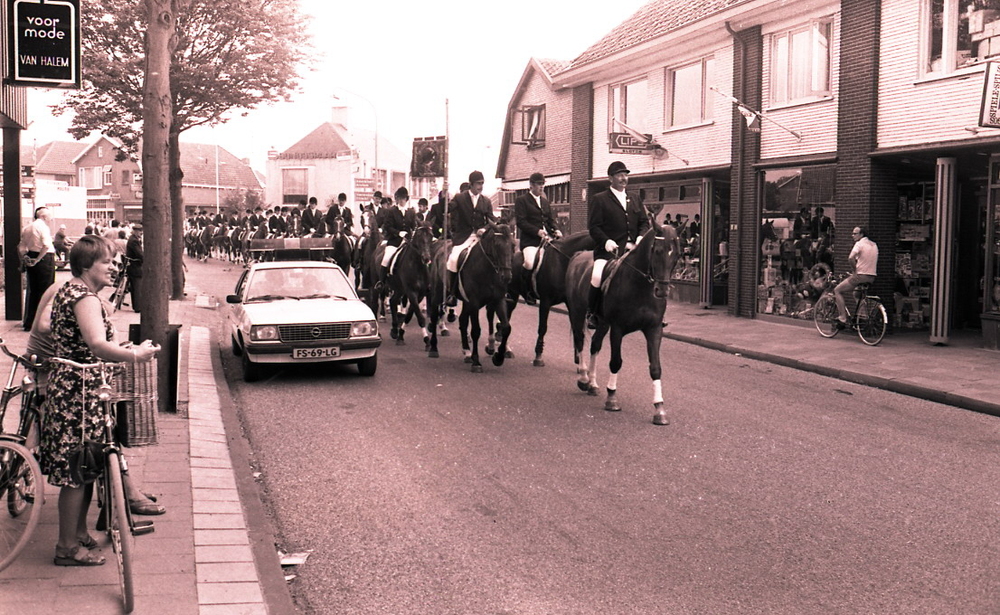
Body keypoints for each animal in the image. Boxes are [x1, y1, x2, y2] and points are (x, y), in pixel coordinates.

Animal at [426, 222, 514, 372]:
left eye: (513, 245)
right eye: (497, 245)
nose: (507, 277)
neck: (488, 271)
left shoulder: (498, 300)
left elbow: (506, 327)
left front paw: (498, 358)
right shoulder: (474, 302)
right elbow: (476, 331)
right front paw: (476, 362)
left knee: (462, 320)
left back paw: (467, 352)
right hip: (438, 294)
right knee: (434, 315)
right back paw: (433, 348)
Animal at [507, 230, 595, 367]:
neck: (562, 262)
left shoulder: (570, 304)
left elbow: (576, 329)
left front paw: (579, 360)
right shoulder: (545, 302)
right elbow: (543, 328)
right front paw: (538, 356)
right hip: (511, 294)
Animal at [565, 221, 681, 425]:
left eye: (676, 255)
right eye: (658, 251)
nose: (662, 291)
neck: (641, 286)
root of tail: (579, 255)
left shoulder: (654, 329)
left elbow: (655, 368)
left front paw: (659, 409)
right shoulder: (617, 329)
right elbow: (616, 362)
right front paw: (612, 399)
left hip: (603, 323)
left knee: (594, 345)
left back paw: (593, 384)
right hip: (577, 314)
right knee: (580, 341)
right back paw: (584, 379)